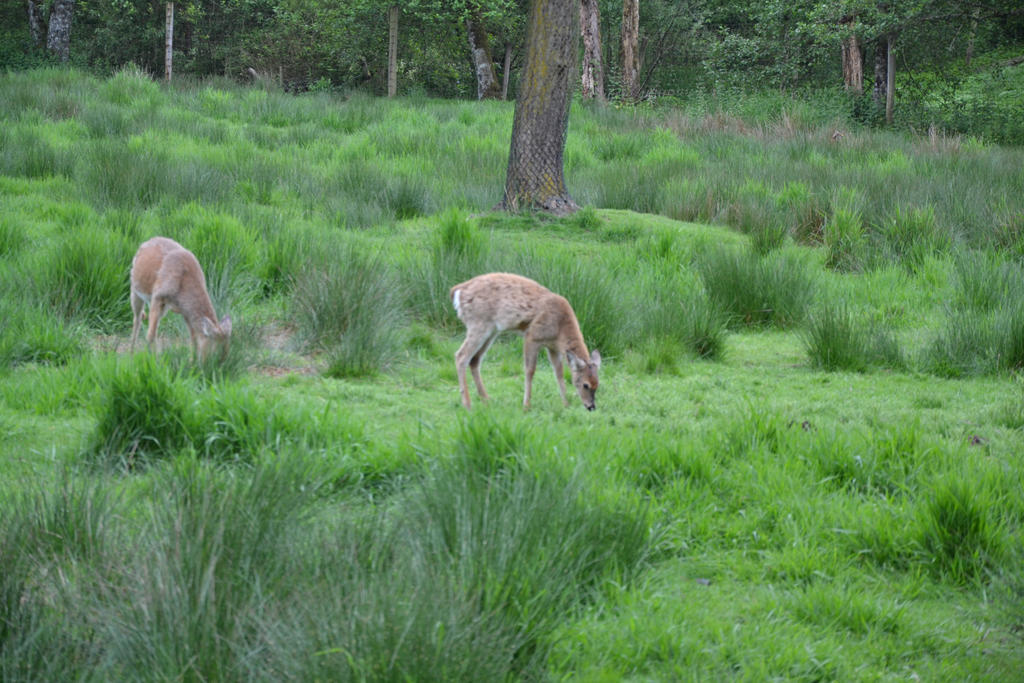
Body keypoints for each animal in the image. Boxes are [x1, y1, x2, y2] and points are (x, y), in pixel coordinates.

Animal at [448, 272, 598, 411]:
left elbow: (559, 372)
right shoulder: (532, 336)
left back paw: (486, 400)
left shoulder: (552, 347)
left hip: (491, 331)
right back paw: (467, 404)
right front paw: (526, 406)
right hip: (478, 324)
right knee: (461, 356)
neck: (560, 328)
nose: (591, 407)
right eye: (585, 385)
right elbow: (530, 370)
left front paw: (566, 404)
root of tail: (457, 291)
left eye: (597, 384)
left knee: (474, 360)